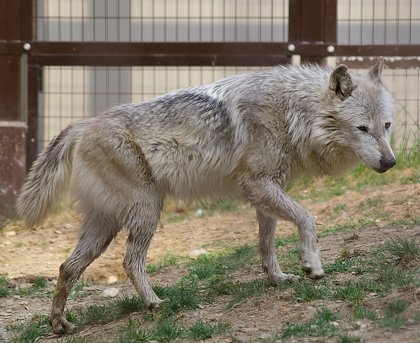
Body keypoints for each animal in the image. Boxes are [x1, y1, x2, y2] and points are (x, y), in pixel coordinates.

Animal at [17, 57, 398, 334]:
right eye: (362, 128)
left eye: (387, 126)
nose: (391, 162)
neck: (292, 111)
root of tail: (83, 124)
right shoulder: (258, 185)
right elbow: (307, 218)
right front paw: (312, 266)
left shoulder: (266, 191)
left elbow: (267, 245)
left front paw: (277, 279)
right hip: (147, 212)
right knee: (129, 261)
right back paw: (155, 303)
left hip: (104, 226)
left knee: (67, 267)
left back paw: (60, 324)